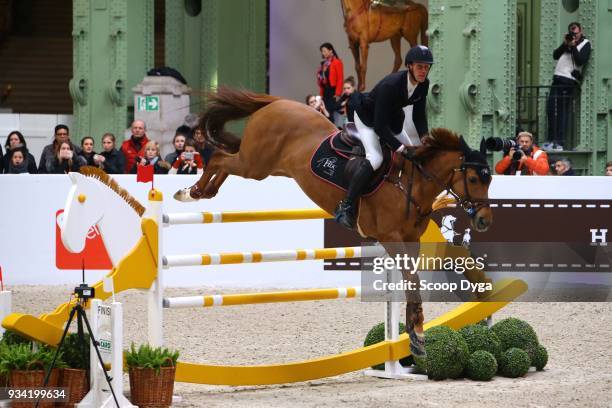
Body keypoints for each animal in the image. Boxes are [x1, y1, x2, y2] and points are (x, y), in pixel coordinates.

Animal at [173, 87, 492, 356]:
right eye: (475, 179)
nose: (484, 221)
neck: (411, 184)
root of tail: (277, 103)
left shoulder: (411, 240)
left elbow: (414, 280)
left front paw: (418, 334)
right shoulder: (391, 238)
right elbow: (412, 282)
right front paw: (417, 338)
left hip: (263, 166)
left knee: (225, 159)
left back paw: (203, 191)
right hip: (255, 164)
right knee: (218, 157)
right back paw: (191, 192)